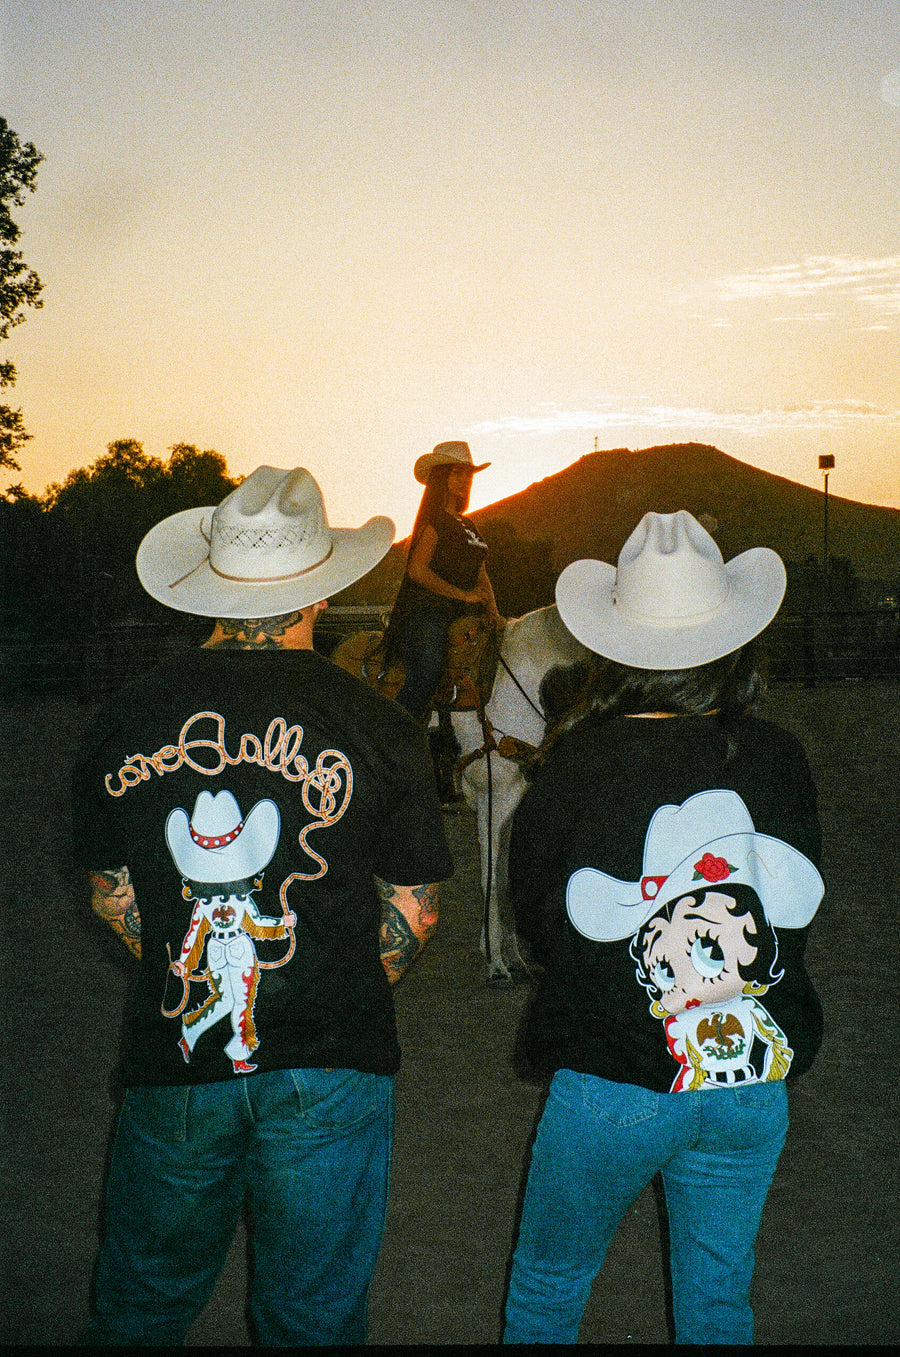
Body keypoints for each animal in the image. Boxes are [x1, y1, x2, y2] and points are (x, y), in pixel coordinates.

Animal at [331, 605, 591, 987]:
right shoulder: (492, 797)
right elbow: (491, 880)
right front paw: (495, 963)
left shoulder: (514, 799)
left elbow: (504, 878)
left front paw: (514, 959)